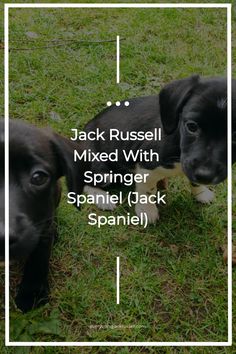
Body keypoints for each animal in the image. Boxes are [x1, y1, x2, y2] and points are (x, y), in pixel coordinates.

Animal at [79, 75, 236, 223]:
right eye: (192, 126)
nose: (205, 175)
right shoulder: (147, 164)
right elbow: (147, 190)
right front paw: (146, 211)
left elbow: (194, 180)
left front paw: (201, 193)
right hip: (102, 171)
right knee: (86, 182)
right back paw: (103, 198)